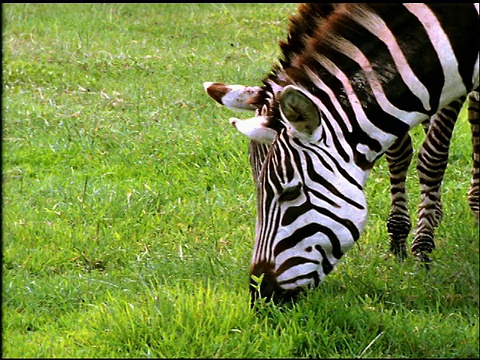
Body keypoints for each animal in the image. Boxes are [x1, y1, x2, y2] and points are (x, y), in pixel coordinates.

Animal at [203, 4, 480, 306]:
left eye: (291, 192)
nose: (262, 296)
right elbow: (399, 147)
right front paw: (399, 237)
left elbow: (432, 155)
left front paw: (422, 248)